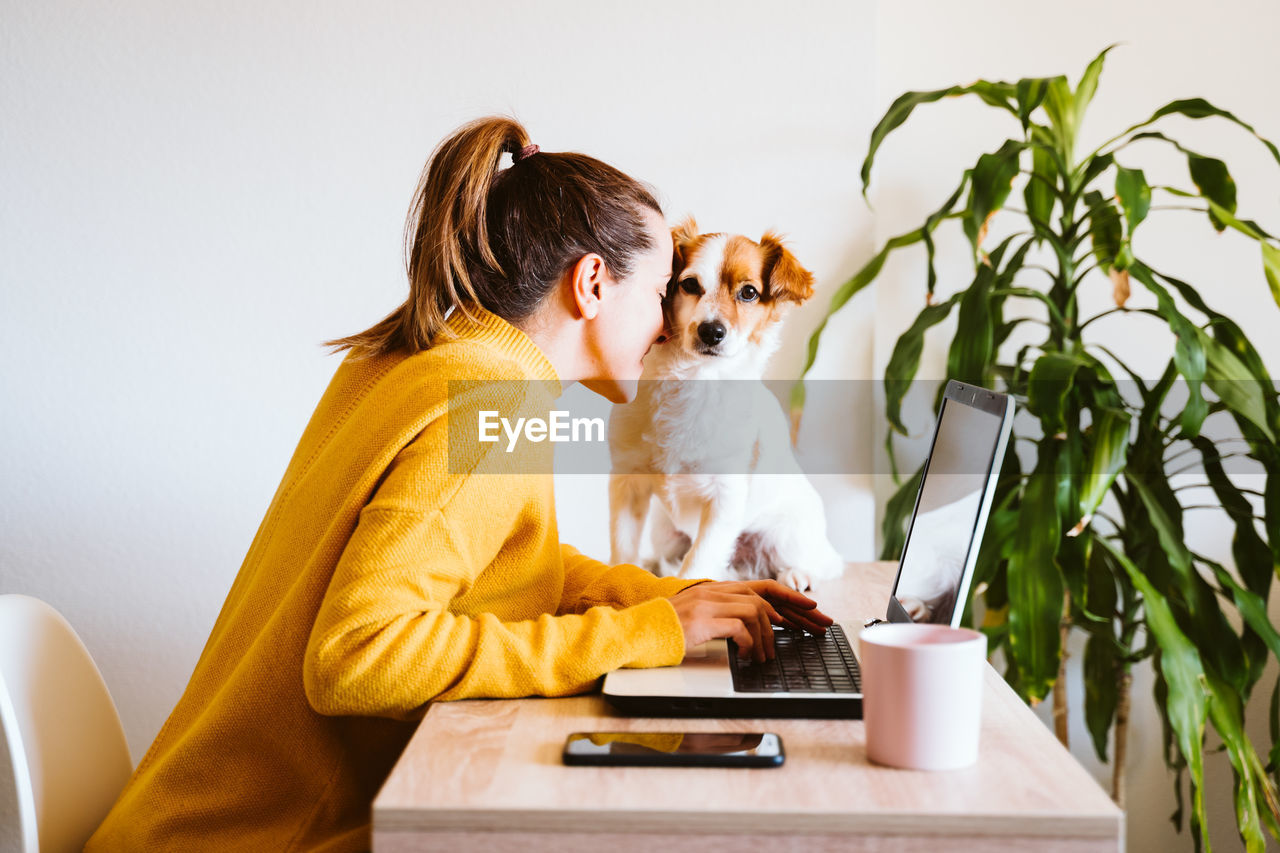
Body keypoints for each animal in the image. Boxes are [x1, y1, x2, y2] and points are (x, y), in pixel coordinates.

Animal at [606, 216, 844, 589]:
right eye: (690, 284)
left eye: (749, 292)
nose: (711, 331)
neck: (693, 381)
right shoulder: (627, 481)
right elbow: (623, 551)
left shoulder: (725, 498)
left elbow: (697, 564)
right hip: (665, 531)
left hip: (787, 536)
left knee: (829, 563)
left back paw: (799, 574)